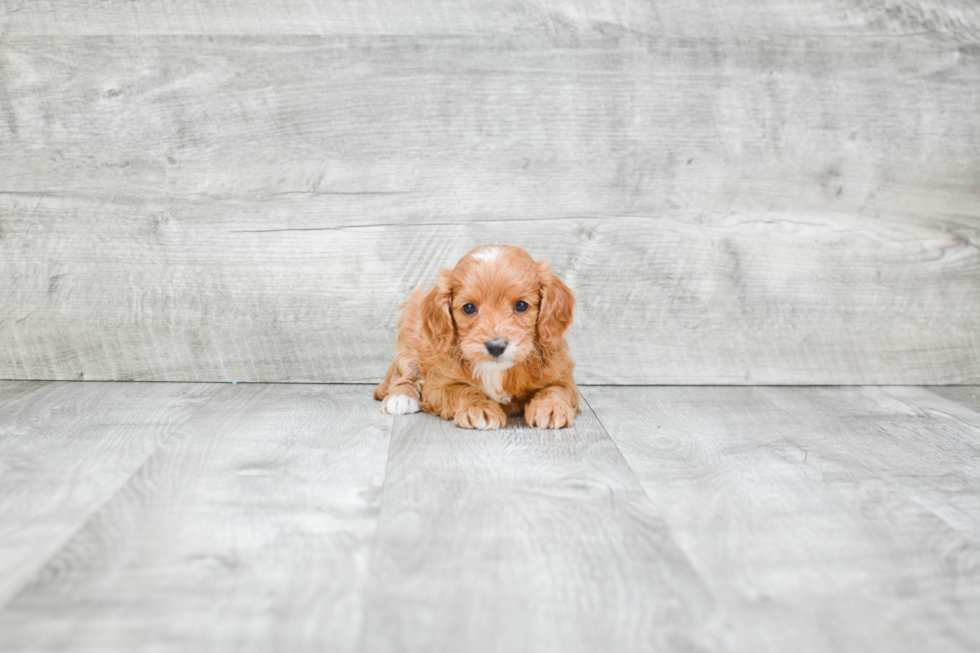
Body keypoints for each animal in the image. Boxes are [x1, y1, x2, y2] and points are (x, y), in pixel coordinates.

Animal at [374, 244, 576, 428]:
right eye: (469, 307)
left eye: (521, 305)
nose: (496, 346)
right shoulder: (438, 384)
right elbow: (463, 390)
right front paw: (479, 408)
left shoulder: (562, 375)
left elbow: (555, 390)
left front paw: (551, 407)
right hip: (410, 332)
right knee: (404, 370)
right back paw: (401, 397)